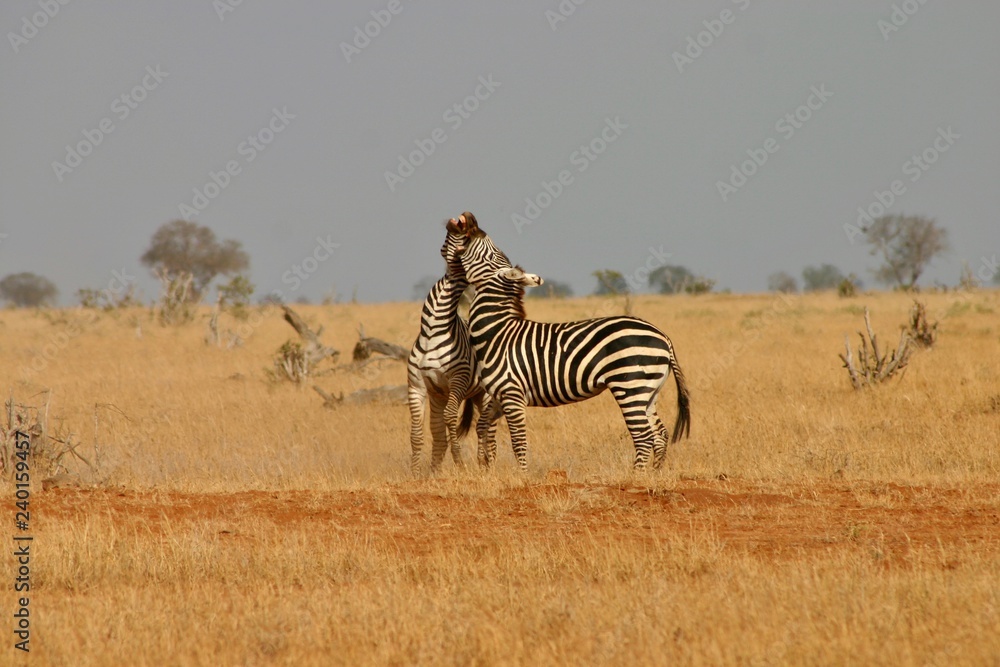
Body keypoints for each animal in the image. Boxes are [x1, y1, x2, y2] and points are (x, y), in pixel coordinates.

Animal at [406, 219, 494, 473]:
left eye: (471, 236)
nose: (469, 217)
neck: (431, 331)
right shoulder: (418, 385)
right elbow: (418, 433)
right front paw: (418, 474)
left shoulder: (458, 380)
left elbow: (450, 419)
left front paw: (459, 461)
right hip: (458, 395)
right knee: (444, 431)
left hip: (486, 392)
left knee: (488, 429)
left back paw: (486, 464)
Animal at [447, 214, 691, 470]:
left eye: (492, 253)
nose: (470, 219)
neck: (497, 332)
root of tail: (663, 336)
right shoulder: (499, 395)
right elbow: (482, 426)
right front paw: (486, 468)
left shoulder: (512, 393)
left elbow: (518, 442)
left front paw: (522, 474)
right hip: (649, 390)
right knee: (660, 434)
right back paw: (654, 473)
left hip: (630, 385)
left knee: (644, 437)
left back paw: (636, 475)